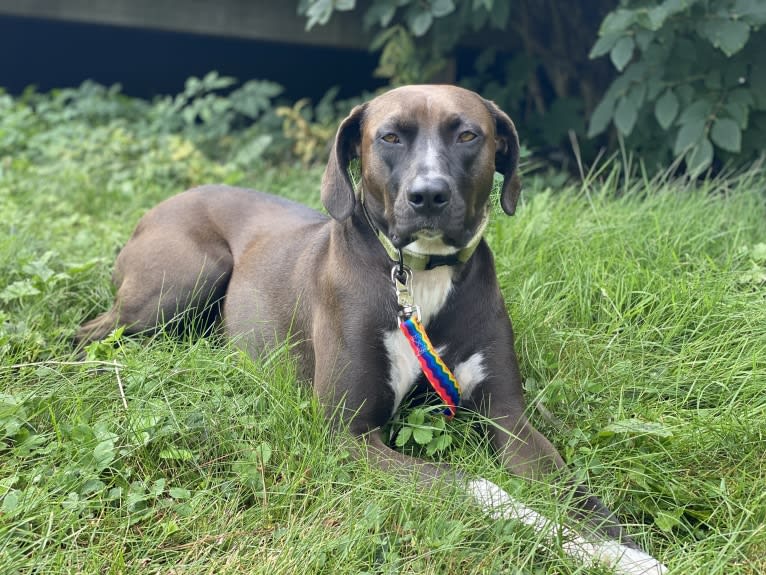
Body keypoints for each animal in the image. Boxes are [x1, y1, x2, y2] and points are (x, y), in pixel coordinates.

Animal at [76, 83, 664, 572]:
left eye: (468, 134)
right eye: (390, 136)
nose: (429, 195)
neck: (419, 277)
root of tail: (160, 206)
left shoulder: (507, 414)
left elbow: (572, 489)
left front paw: (621, 551)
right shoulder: (348, 435)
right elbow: (481, 488)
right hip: (183, 281)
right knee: (87, 333)